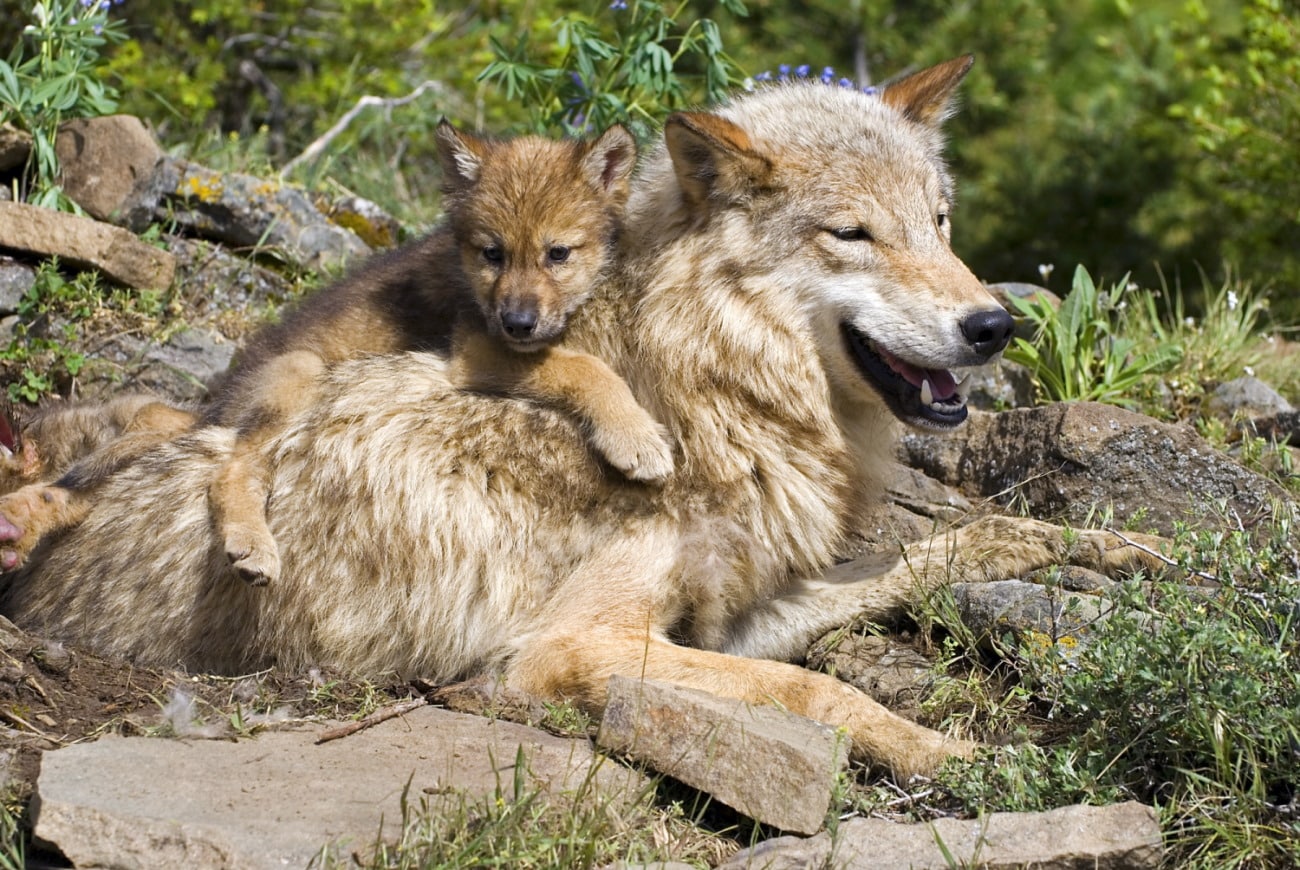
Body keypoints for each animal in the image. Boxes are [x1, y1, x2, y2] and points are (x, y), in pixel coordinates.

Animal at [0, 57, 1159, 775]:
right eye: (853, 234)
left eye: (941, 222)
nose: (994, 325)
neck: (701, 387)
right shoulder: (569, 649)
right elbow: (817, 695)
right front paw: (954, 756)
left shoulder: (731, 608)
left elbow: (947, 547)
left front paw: (1112, 547)